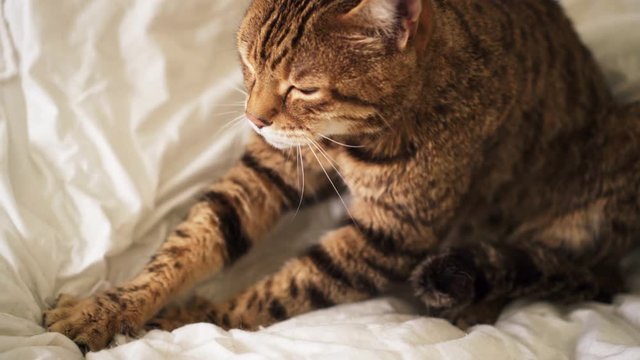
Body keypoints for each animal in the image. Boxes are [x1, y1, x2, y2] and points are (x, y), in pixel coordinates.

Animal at [45, 0, 640, 352]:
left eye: (304, 88)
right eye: (248, 64)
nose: (254, 119)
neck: (351, 139)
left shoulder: (390, 232)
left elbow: (281, 290)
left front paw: (192, 317)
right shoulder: (267, 170)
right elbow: (189, 244)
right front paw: (110, 307)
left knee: (558, 268)